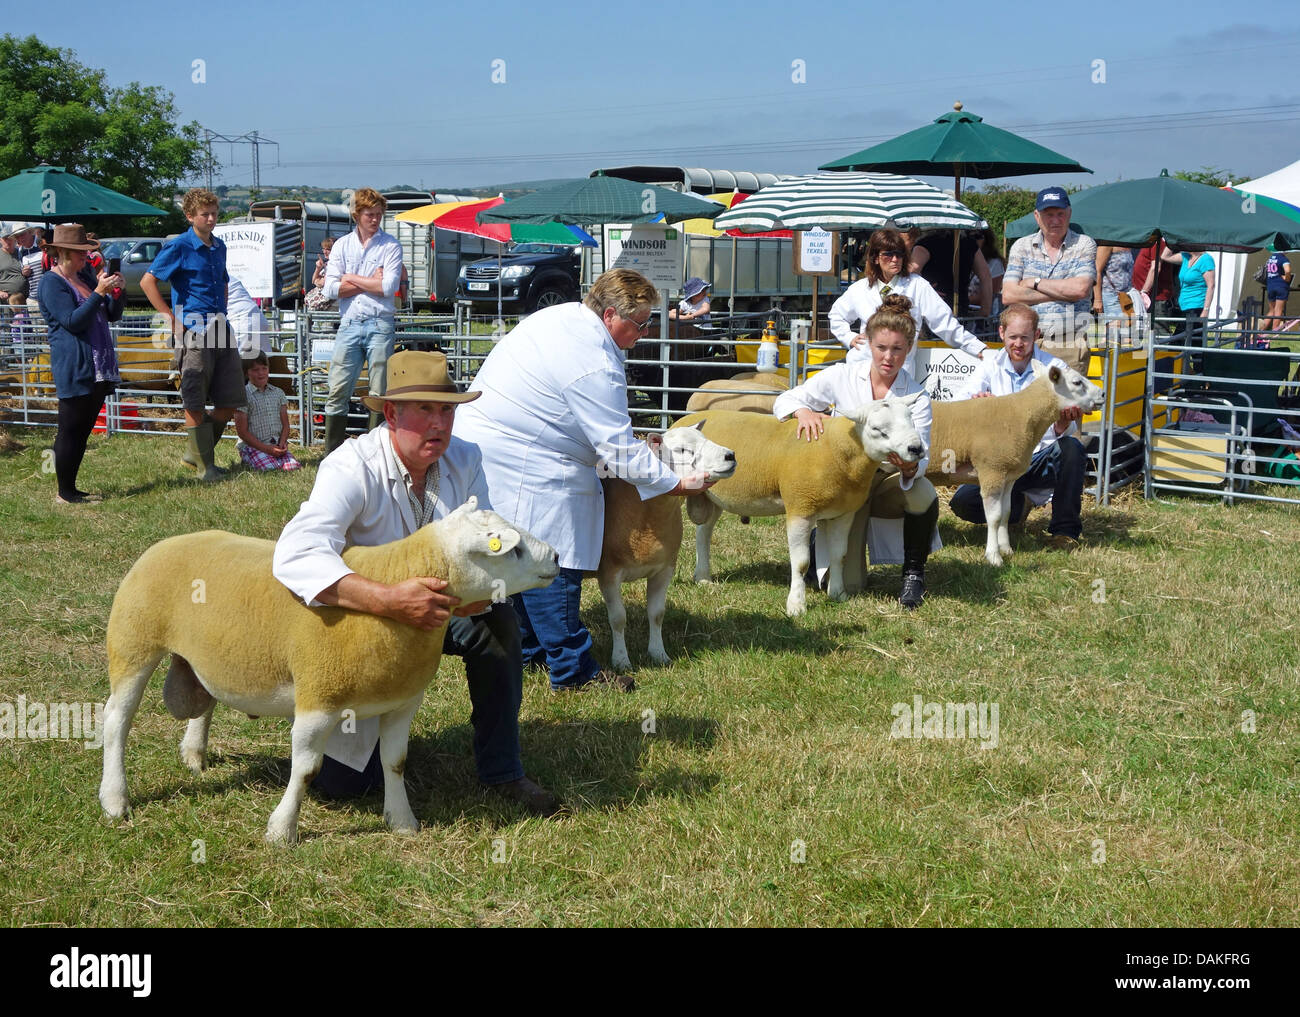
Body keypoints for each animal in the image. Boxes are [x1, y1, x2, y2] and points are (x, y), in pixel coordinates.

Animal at [94, 499, 553, 842]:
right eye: (512, 549)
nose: (556, 556)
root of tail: (168, 542)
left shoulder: (403, 703)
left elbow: (395, 762)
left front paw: (402, 821)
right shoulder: (319, 698)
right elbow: (307, 769)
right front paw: (282, 830)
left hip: (202, 655)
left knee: (204, 700)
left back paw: (193, 754)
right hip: (133, 642)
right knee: (117, 719)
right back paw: (115, 800)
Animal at [592, 421, 738, 671]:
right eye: (681, 450)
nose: (730, 455)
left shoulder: (665, 569)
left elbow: (657, 614)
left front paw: (659, 654)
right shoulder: (608, 572)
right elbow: (618, 619)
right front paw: (621, 660)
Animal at [670, 403, 925, 616]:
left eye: (912, 420)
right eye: (877, 429)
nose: (916, 448)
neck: (836, 450)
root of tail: (685, 420)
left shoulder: (844, 513)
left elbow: (839, 555)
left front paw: (838, 594)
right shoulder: (800, 509)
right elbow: (801, 562)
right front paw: (796, 605)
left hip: (710, 496)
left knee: (703, 533)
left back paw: (703, 577)